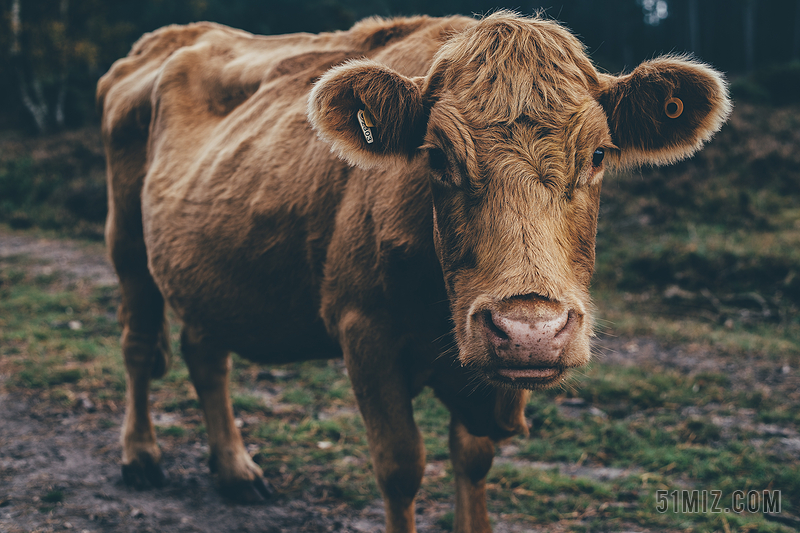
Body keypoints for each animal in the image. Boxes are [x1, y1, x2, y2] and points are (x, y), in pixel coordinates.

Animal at [97, 12, 728, 532]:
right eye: (437, 156)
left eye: (598, 155)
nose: (530, 331)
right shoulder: (364, 332)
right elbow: (401, 466)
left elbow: (473, 460)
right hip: (125, 243)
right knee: (136, 343)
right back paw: (141, 457)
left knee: (206, 353)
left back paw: (234, 470)